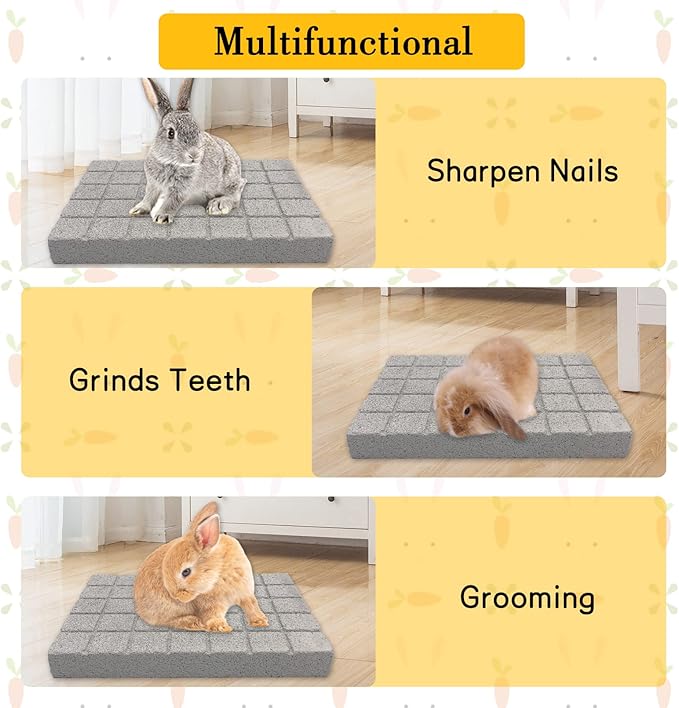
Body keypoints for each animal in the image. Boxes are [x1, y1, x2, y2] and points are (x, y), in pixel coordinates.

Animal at [129, 78, 246, 224]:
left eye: (197, 130)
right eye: (171, 133)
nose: (194, 155)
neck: (169, 162)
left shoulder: (181, 188)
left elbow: (172, 201)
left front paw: (162, 216)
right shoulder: (153, 184)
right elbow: (149, 197)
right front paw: (138, 209)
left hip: (227, 178)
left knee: (236, 194)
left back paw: (218, 205)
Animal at [134, 502, 268, 632]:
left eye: (186, 572)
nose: (175, 596)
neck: (219, 569)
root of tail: (139, 609)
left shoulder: (245, 593)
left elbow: (251, 605)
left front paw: (260, 622)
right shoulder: (211, 604)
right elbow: (213, 615)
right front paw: (221, 628)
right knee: (170, 621)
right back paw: (195, 623)